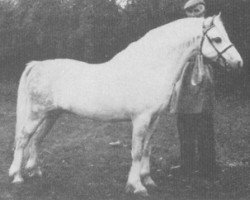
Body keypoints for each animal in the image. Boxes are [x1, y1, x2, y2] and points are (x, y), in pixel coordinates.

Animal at [9, 14, 242, 196]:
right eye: (217, 38)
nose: (238, 63)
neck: (150, 67)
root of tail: (37, 65)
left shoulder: (154, 119)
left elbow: (147, 148)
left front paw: (147, 179)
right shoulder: (140, 119)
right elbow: (137, 151)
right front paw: (136, 186)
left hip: (51, 115)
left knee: (36, 140)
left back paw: (36, 171)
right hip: (37, 114)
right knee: (23, 139)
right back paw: (17, 176)